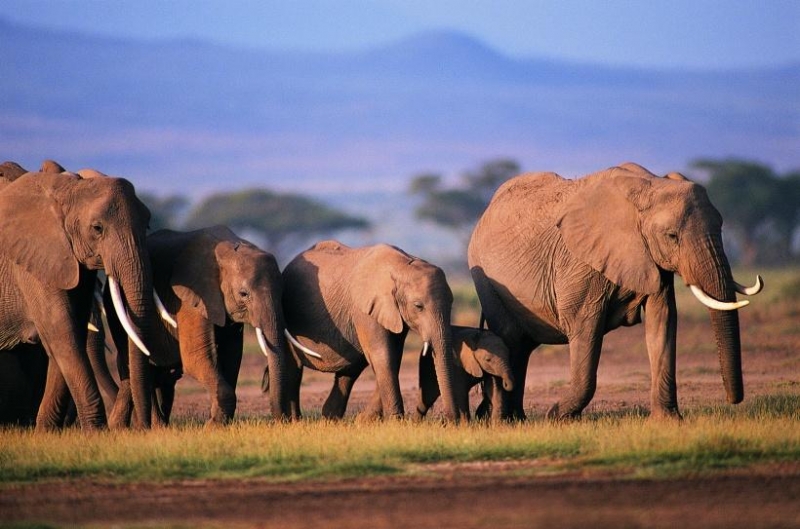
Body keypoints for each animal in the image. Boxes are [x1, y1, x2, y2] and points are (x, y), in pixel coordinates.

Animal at [0, 163, 158, 432]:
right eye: (97, 228)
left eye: (147, 224)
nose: (144, 428)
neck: (67, 188)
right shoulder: (31, 261)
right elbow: (61, 330)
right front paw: (96, 432)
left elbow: (71, 330)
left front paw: (45, 432)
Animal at [108, 225, 292, 426]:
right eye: (244, 294)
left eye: (283, 292)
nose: (282, 420)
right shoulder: (190, 298)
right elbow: (196, 357)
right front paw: (211, 426)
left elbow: (232, 355)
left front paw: (217, 421)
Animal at [468, 163, 764, 418]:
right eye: (672, 236)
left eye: (721, 227)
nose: (733, 400)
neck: (650, 186)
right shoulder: (580, 263)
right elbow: (585, 327)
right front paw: (557, 417)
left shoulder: (651, 260)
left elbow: (662, 322)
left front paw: (668, 421)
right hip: (487, 280)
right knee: (511, 339)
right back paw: (506, 420)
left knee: (522, 348)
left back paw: (516, 419)